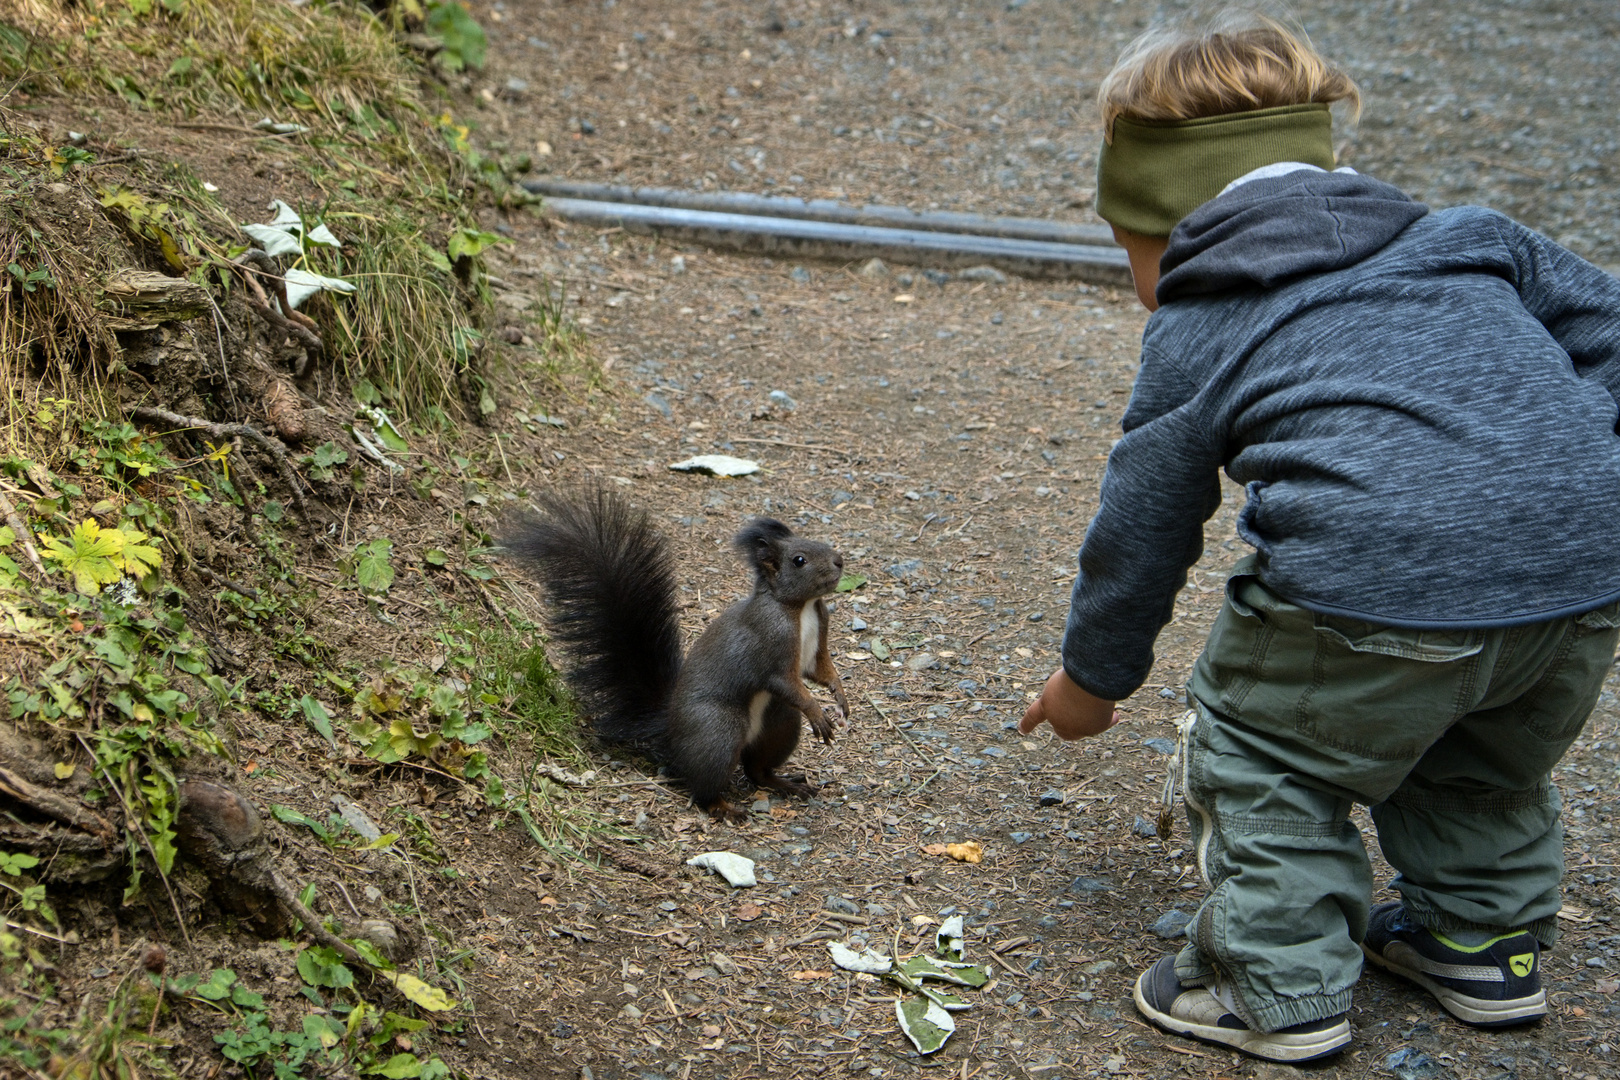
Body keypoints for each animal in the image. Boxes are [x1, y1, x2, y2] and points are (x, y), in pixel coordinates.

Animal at [502, 485, 861, 822]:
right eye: (799, 560)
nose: (839, 560)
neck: (801, 607)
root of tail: (671, 731)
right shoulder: (770, 643)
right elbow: (787, 682)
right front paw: (818, 712)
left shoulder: (817, 642)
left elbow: (820, 671)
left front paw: (840, 696)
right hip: (719, 731)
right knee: (705, 786)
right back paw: (723, 808)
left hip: (779, 724)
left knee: (756, 770)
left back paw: (786, 784)